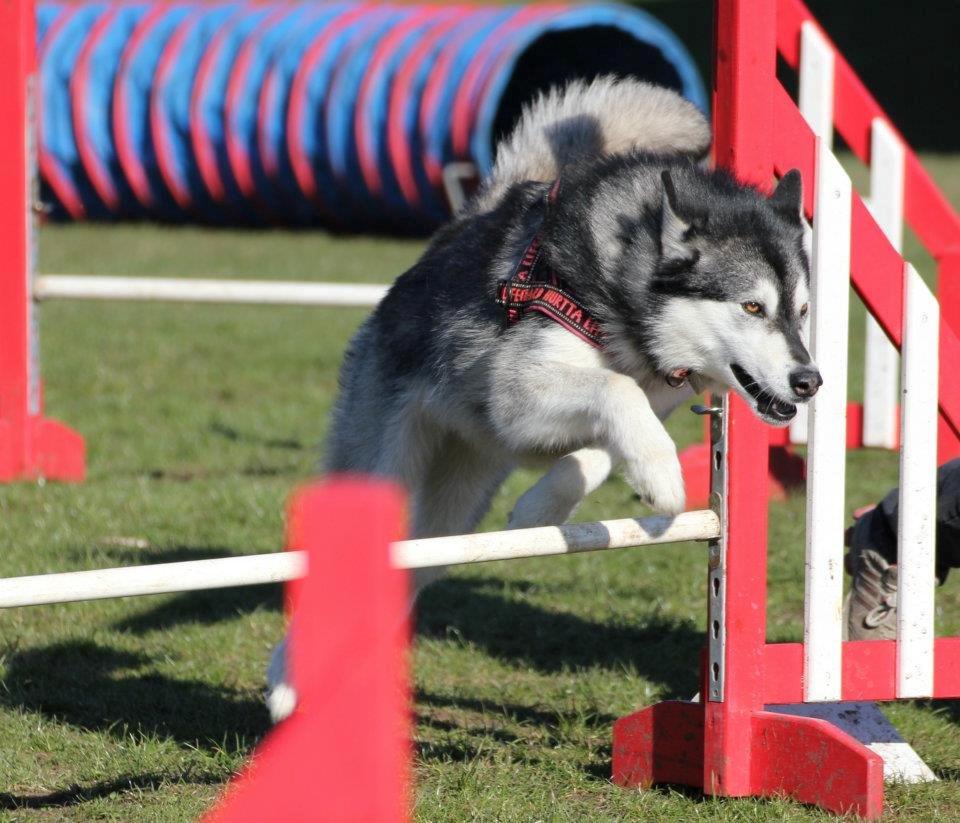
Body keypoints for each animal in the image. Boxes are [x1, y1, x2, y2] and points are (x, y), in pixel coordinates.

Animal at [266, 75, 820, 720]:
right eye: (752, 306)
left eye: (802, 311)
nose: (810, 381)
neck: (624, 299)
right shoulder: (515, 391)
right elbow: (616, 389)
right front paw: (662, 477)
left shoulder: (642, 403)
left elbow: (604, 445)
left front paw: (543, 508)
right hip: (383, 464)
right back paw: (287, 676)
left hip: (453, 514)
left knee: (404, 567)